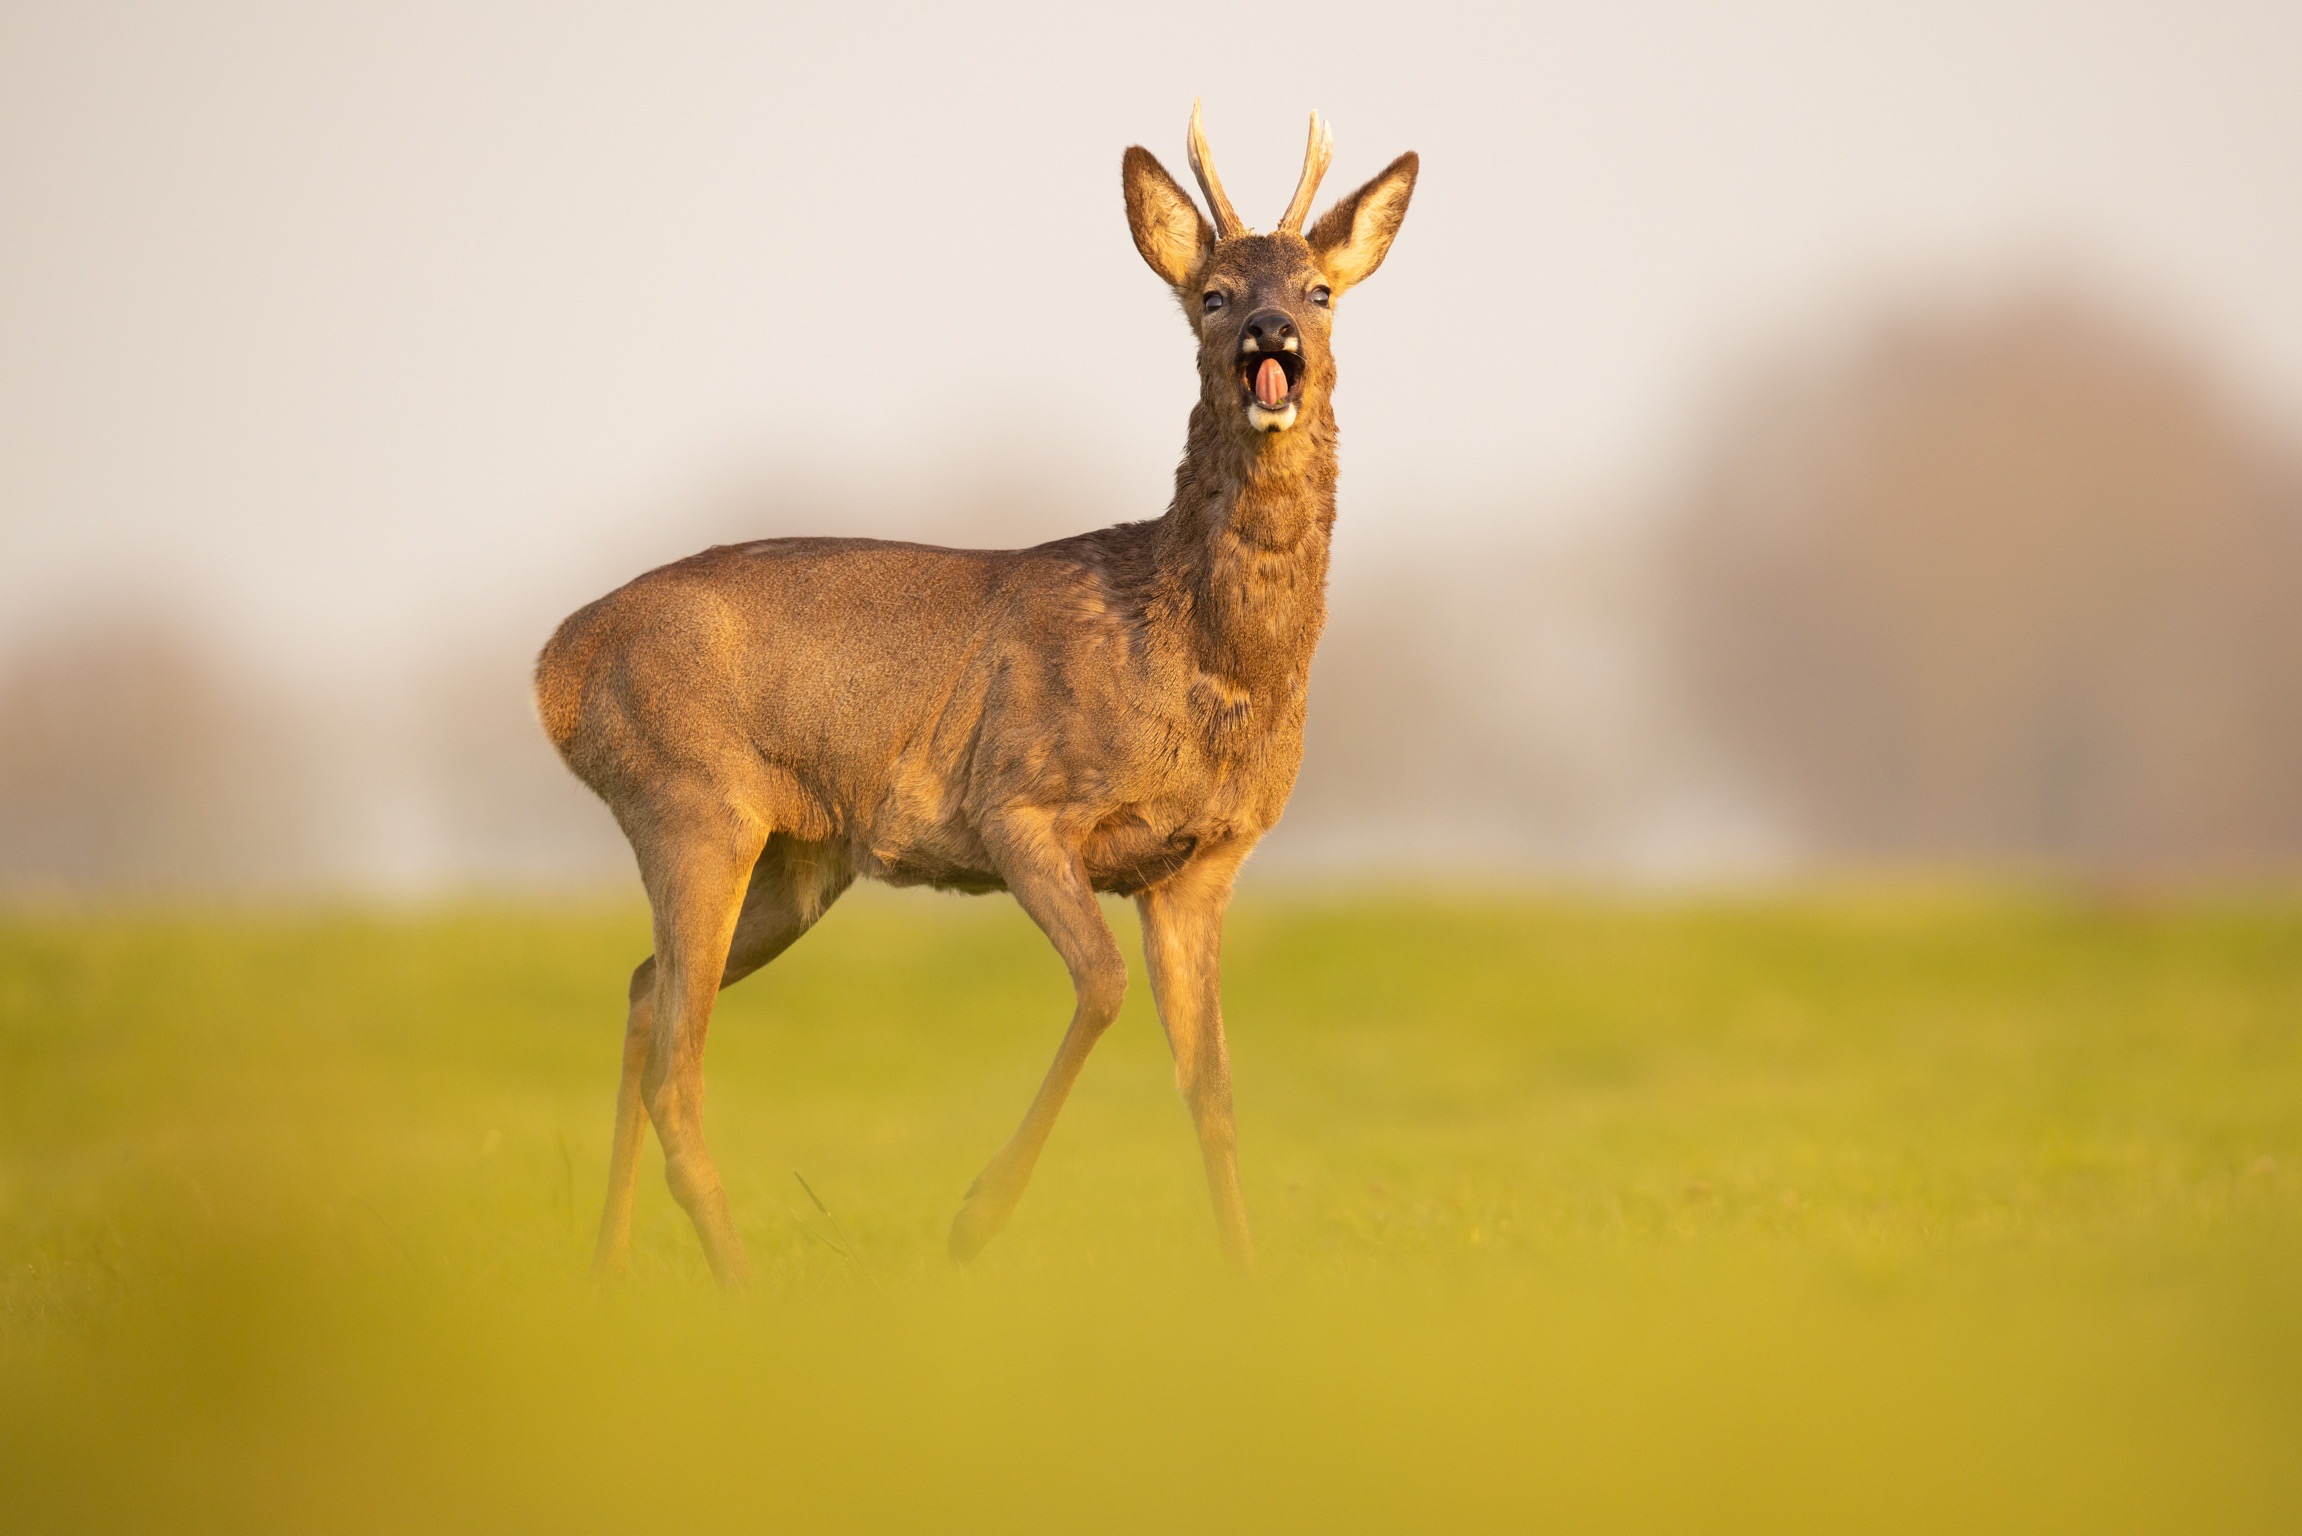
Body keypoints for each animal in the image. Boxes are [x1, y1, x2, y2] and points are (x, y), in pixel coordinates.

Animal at [536, 108, 1408, 1280]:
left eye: (1319, 289)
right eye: (1214, 293)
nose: (1271, 337)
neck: (1194, 658)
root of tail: (555, 665)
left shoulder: (1204, 863)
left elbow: (1214, 1090)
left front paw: (1247, 1280)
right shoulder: (1017, 802)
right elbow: (1101, 986)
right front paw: (976, 1217)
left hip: (798, 858)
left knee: (640, 992)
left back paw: (606, 1264)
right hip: (689, 802)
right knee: (679, 1064)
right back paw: (738, 1283)